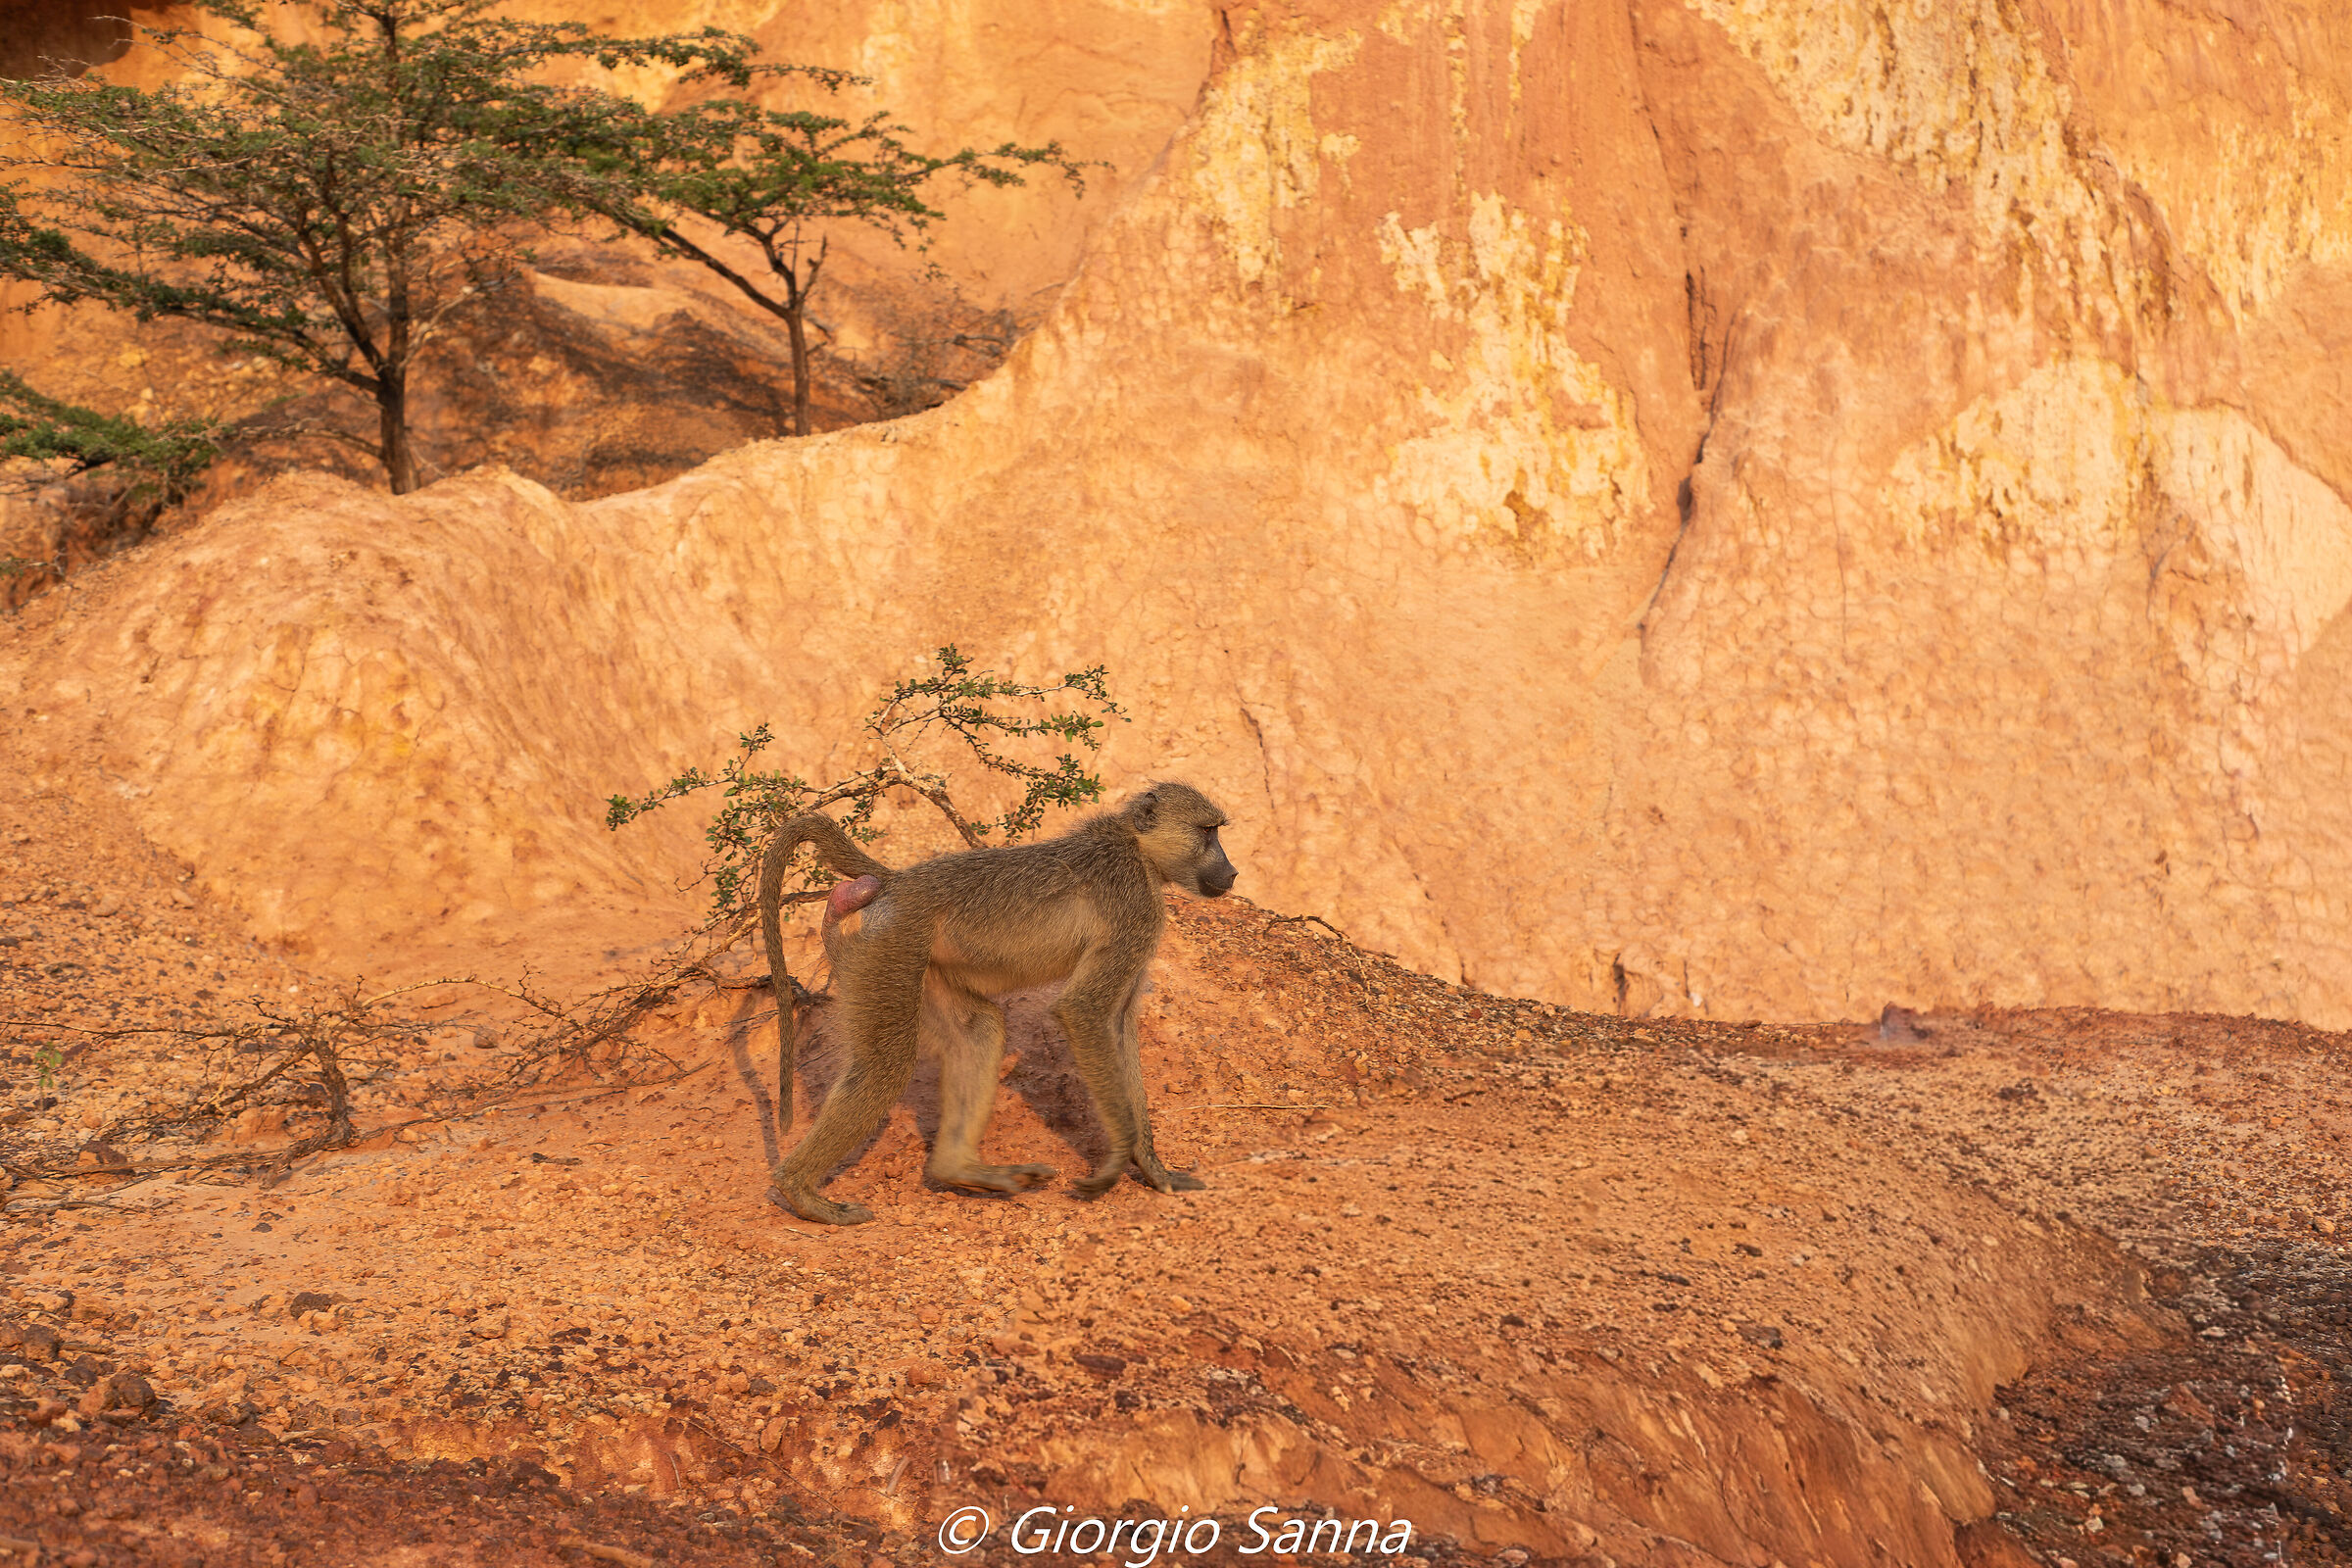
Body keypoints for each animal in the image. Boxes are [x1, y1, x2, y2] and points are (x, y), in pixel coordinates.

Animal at [755, 781, 1238, 1226]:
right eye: (1206, 832)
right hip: (891, 944)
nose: (1231, 872)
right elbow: (1085, 1011)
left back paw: (962, 1170)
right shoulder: (1134, 907)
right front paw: (1117, 1161)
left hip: (920, 962)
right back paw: (802, 1192)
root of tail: (898, 880)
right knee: (885, 1067)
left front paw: (1155, 1170)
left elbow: (1118, 1024)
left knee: (979, 1031)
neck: (1136, 847)